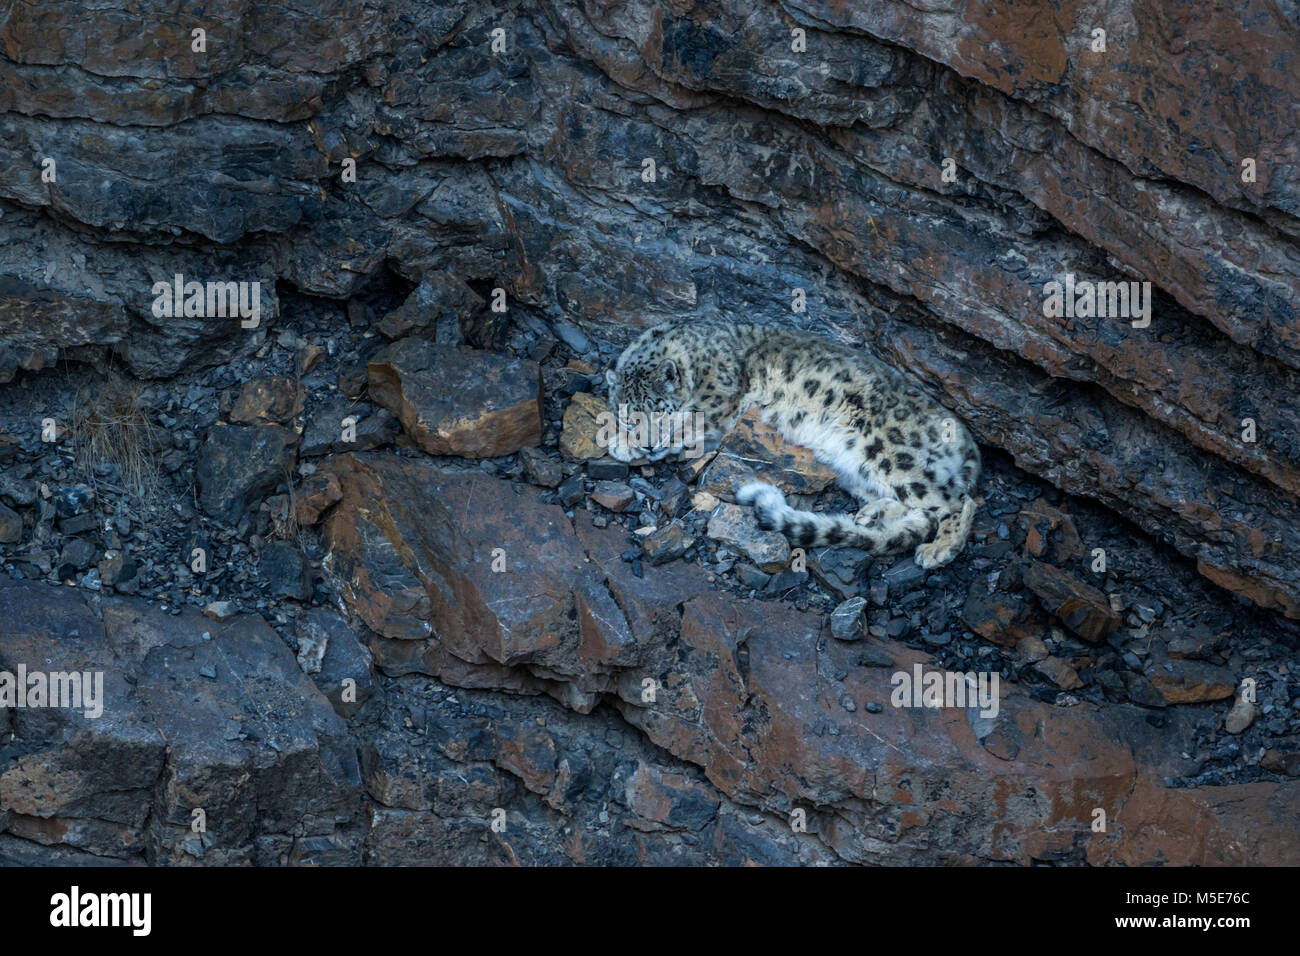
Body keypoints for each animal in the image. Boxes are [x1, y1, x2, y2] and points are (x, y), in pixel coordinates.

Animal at [603, 318, 980, 569]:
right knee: (914, 505)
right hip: (855, 469)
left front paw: (620, 444)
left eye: (660, 413)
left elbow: (687, 428)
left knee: (955, 501)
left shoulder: (715, 410)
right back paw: (871, 515)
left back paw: (939, 549)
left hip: (893, 453)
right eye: (629, 416)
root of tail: (967, 441)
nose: (648, 446)